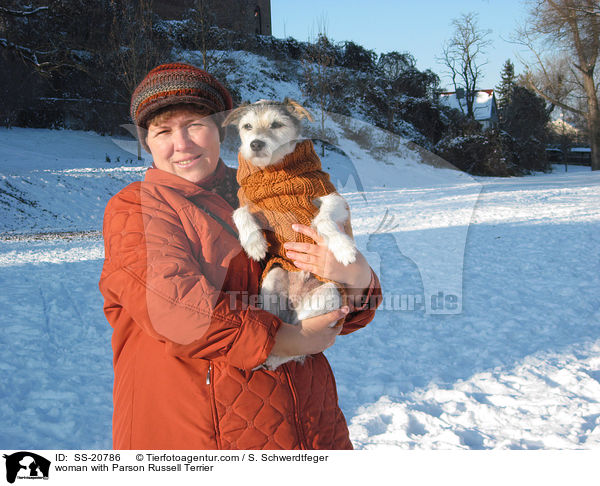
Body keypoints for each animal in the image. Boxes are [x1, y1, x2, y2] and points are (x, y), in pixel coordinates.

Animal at [224, 99, 356, 368]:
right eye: (247, 126)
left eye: (276, 124)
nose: (255, 144)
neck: (273, 172)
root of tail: (296, 302)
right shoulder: (249, 203)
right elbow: (240, 213)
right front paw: (255, 244)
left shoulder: (333, 198)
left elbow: (323, 220)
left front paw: (343, 247)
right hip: (272, 282)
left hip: (327, 296)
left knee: (300, 341)